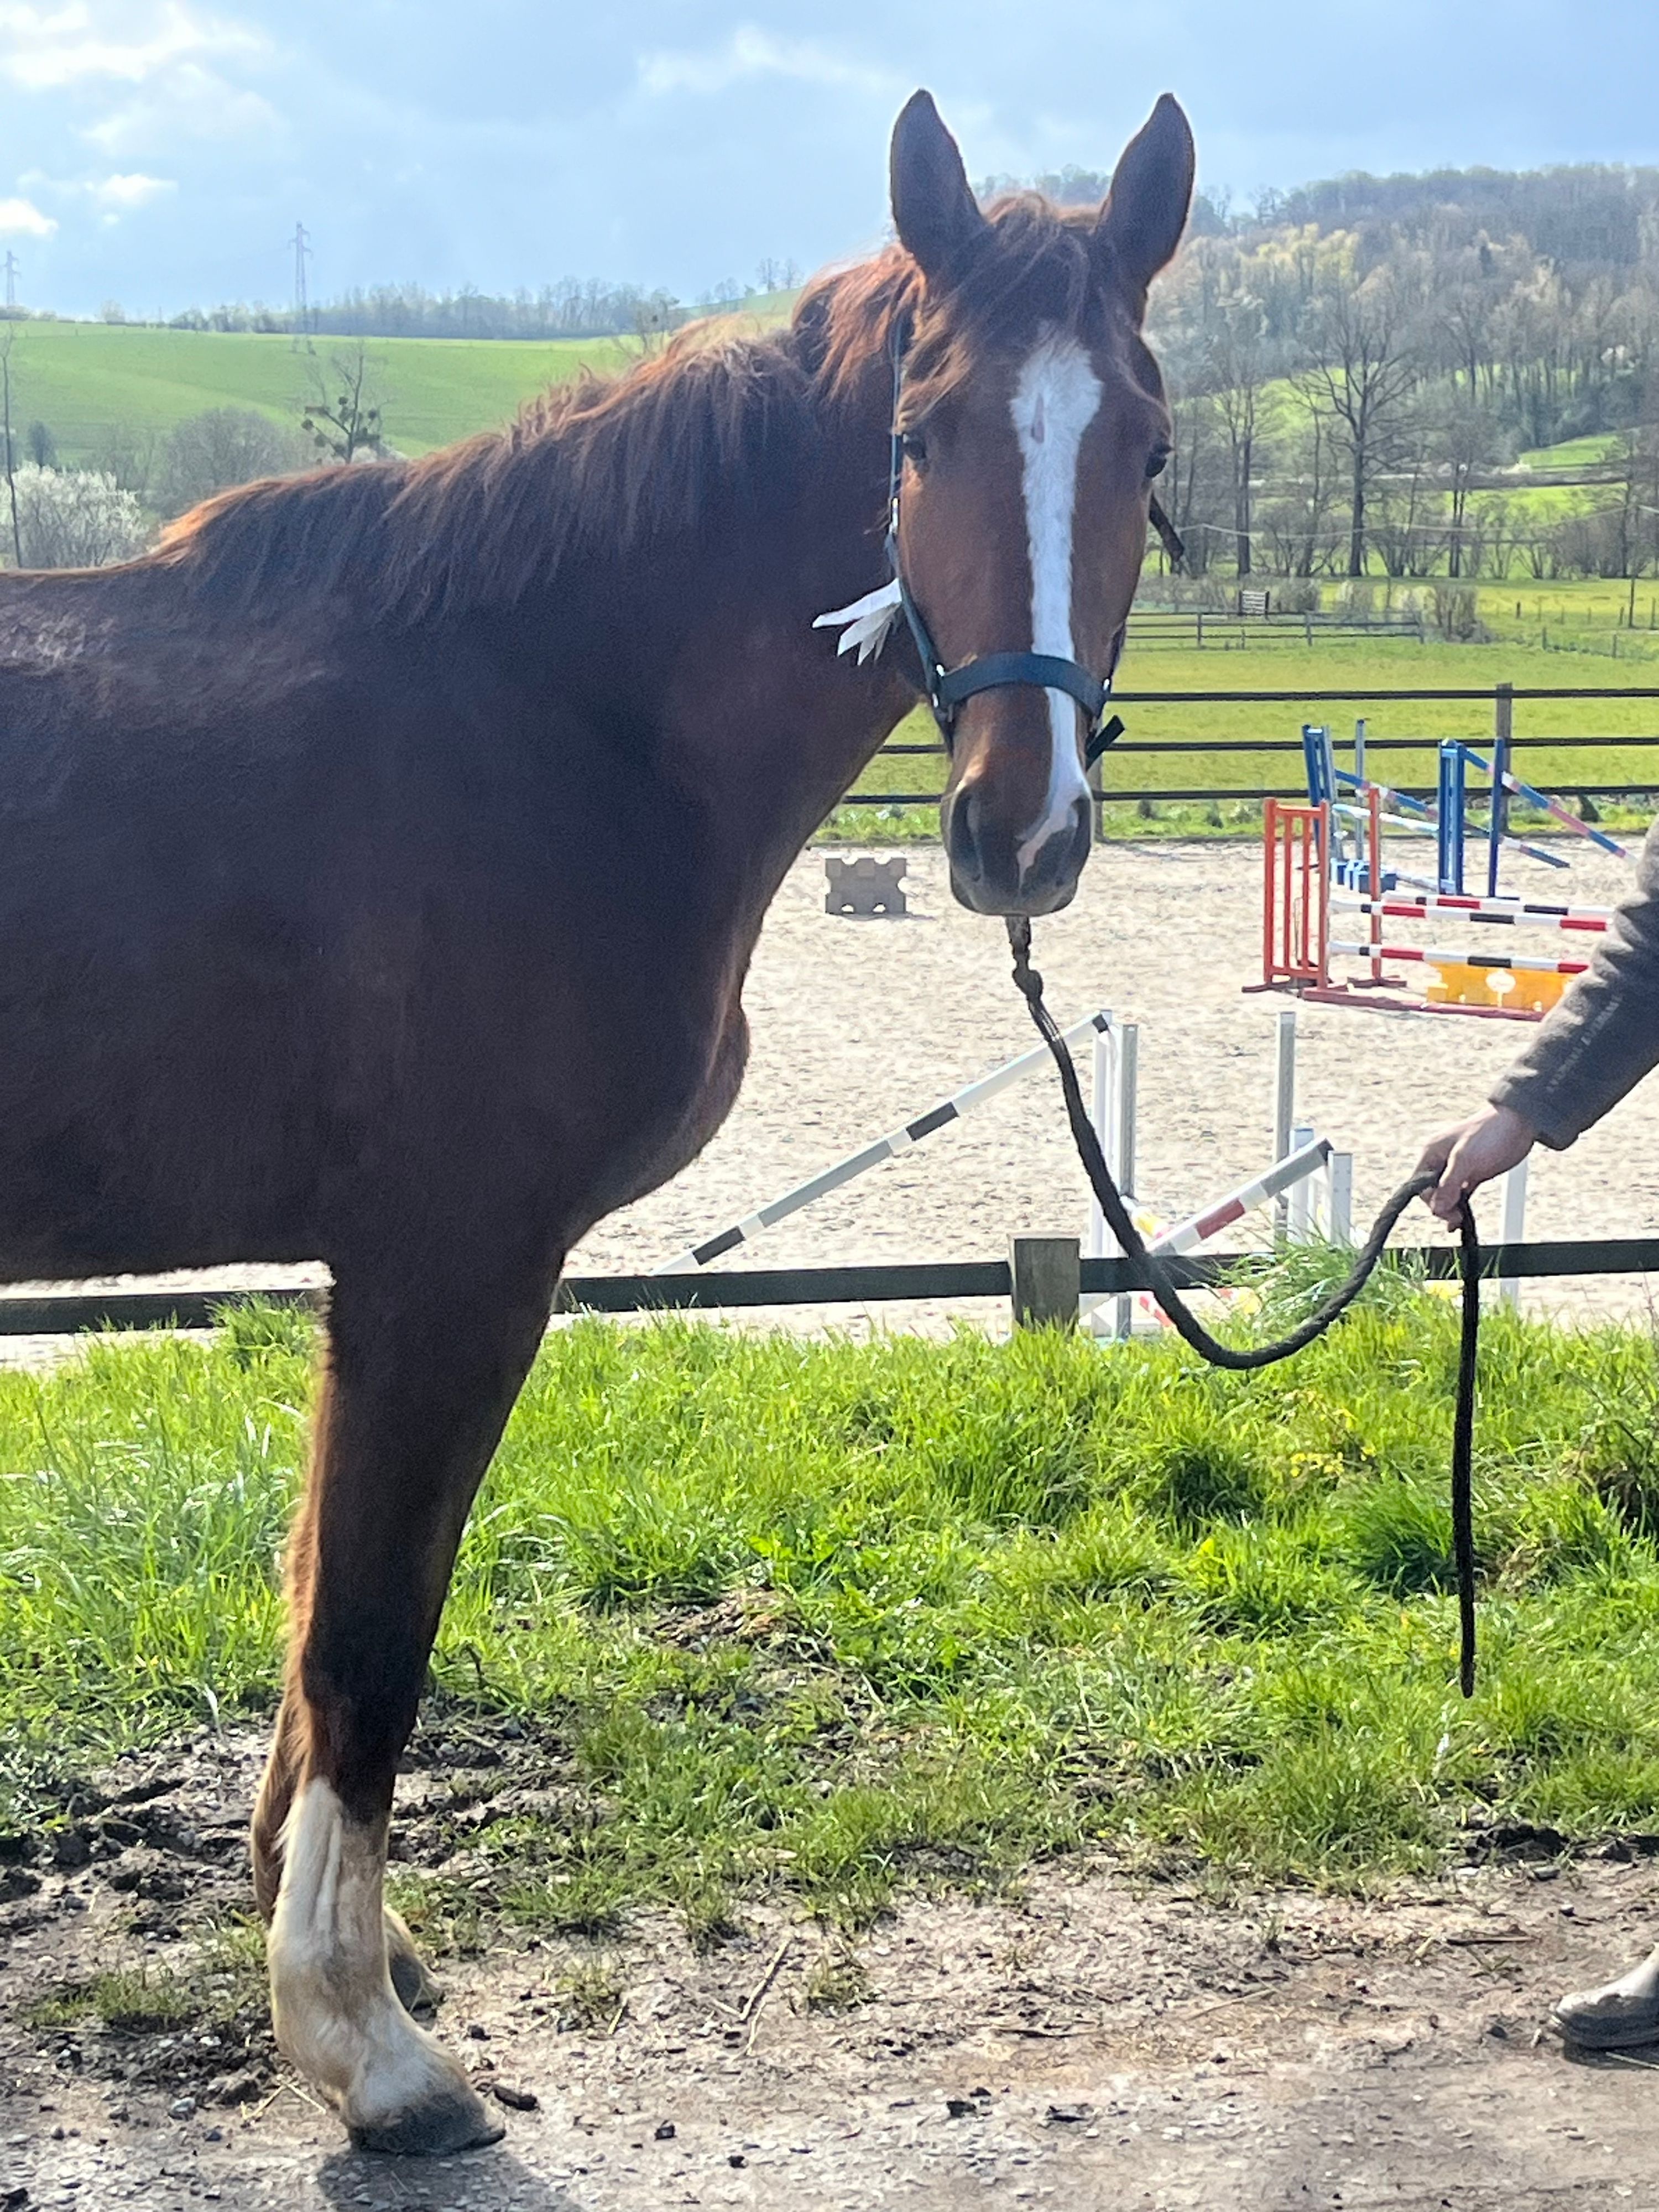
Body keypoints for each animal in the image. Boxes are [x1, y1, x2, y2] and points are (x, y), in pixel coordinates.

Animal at [0, 88, 1193, 2153]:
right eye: (921, 433)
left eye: (1147, 442)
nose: (1017, 828)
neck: (553, 717)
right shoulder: (445, 1268)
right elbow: (365, 1628)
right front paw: (365, 2046)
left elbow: (321, 1615)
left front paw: (356, 1966)